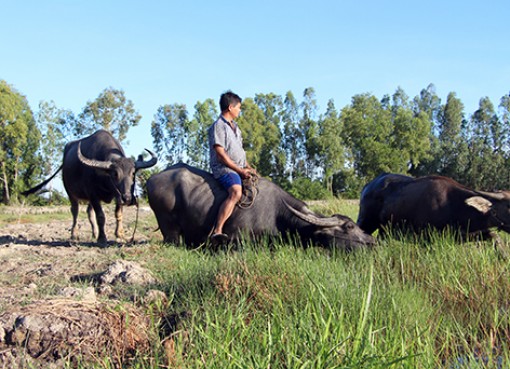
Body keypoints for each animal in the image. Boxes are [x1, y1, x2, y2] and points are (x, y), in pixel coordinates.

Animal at [22, 129, 157, 244]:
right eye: (115, 174)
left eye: (133, 173)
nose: (128, 199)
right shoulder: (94, 195)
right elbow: (100, 216)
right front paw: (102, 238)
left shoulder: (117, 196)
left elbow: (118, 213)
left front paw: (120, 234)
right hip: (70, 192)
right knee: (75, 211)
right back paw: (74, 234)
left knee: (89, 212)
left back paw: (94, 233)